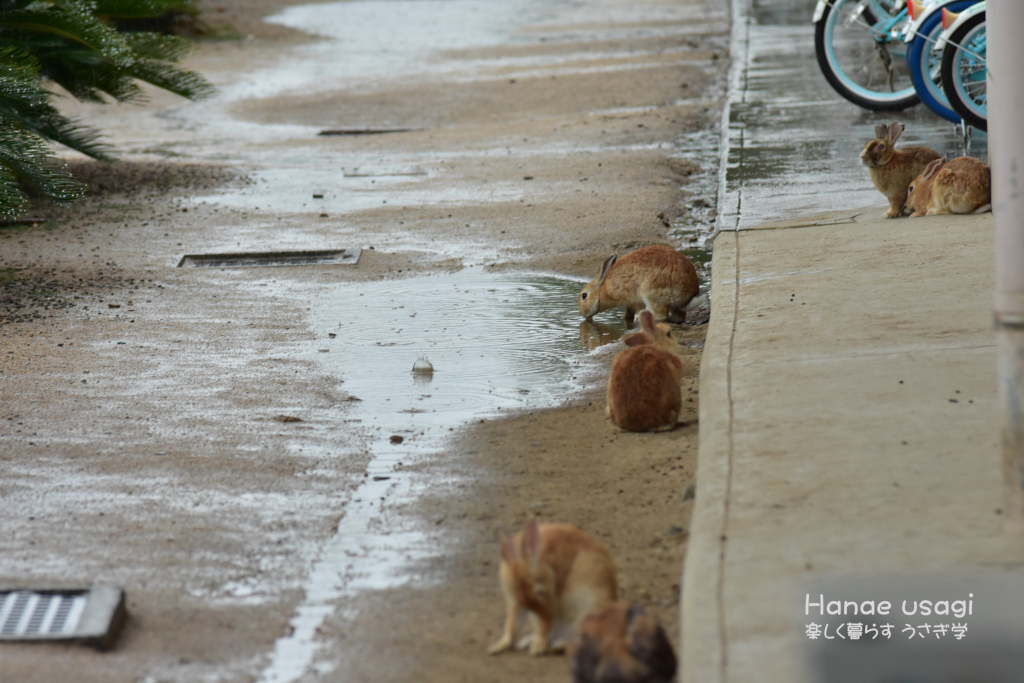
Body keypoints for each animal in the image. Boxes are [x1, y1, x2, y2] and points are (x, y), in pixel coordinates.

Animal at [487, 520, 614, 659]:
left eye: (540, 592)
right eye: (520, 598)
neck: (544, 562)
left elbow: (543, 626)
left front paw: (537, 648)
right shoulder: (516, 604)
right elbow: (512, 626)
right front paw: (497, 647)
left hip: (587, 612)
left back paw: (556, 646)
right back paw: (529, 641)